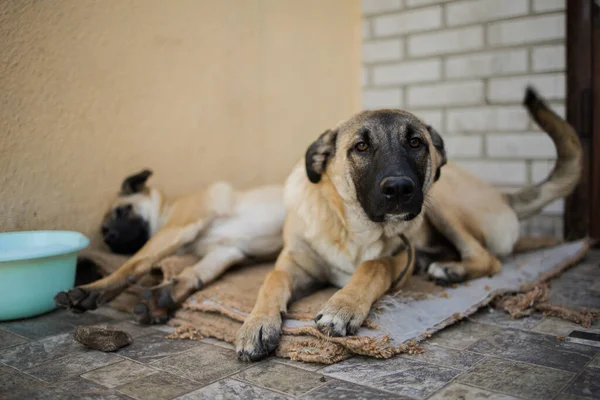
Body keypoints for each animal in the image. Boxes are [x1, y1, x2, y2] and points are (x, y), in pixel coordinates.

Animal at [55, 170, 284, 324]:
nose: (110, 237)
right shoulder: (226, 250)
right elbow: (195, 273)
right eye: (104, 231)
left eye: (123, 211)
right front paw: (164, 297)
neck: (167, 210)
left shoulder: (177, 229)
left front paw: (92, 290)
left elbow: (134, 264)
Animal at [234, 86, 580, 360]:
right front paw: (257, 323)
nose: (400, 188)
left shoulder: (401, 257)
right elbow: (272, 279)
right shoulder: (295, 264)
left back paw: (450, 270)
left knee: (488, 258)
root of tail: (503, 196)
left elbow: (372, 266)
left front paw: (342, 306)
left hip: (439, 203)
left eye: (415, 143)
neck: (354, 229)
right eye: (361, 146)